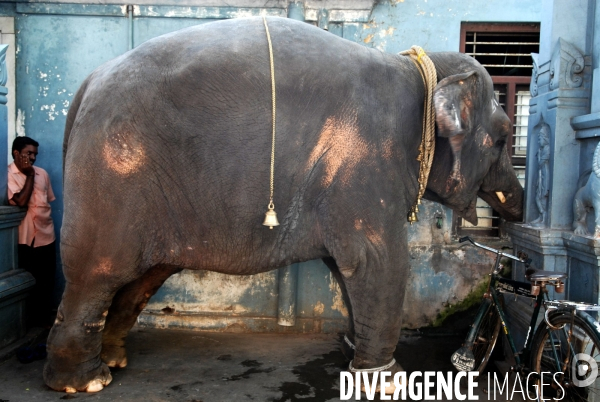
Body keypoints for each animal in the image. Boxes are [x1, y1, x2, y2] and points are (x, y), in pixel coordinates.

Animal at [43, 16, 520, 392]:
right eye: (502, 137)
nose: (512, 224)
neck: (414, 69)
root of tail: (86, 86)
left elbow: (345, 267)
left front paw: (352, 351)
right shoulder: (365, 167)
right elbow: (376, 261)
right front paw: (387, 382)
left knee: (138, 279)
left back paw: (113, 360)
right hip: (110, 183)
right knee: (96, 274)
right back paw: (87, 382)